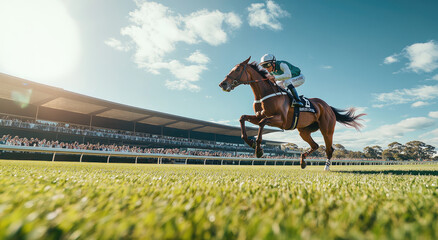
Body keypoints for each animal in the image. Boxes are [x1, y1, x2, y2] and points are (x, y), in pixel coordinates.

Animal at [219, 57, 366, 170]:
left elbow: (262, 123)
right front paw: (251, 143)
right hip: (304, 131)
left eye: (237, 70)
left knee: (329, 149)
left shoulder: (281, 120)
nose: (223, 84)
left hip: (327, 129)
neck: (265, 93)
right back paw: (302, 161)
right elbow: (242, 118)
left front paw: (259, 149)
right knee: (315, 145)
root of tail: (327, 107)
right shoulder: (259, 115)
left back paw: (326, 167)